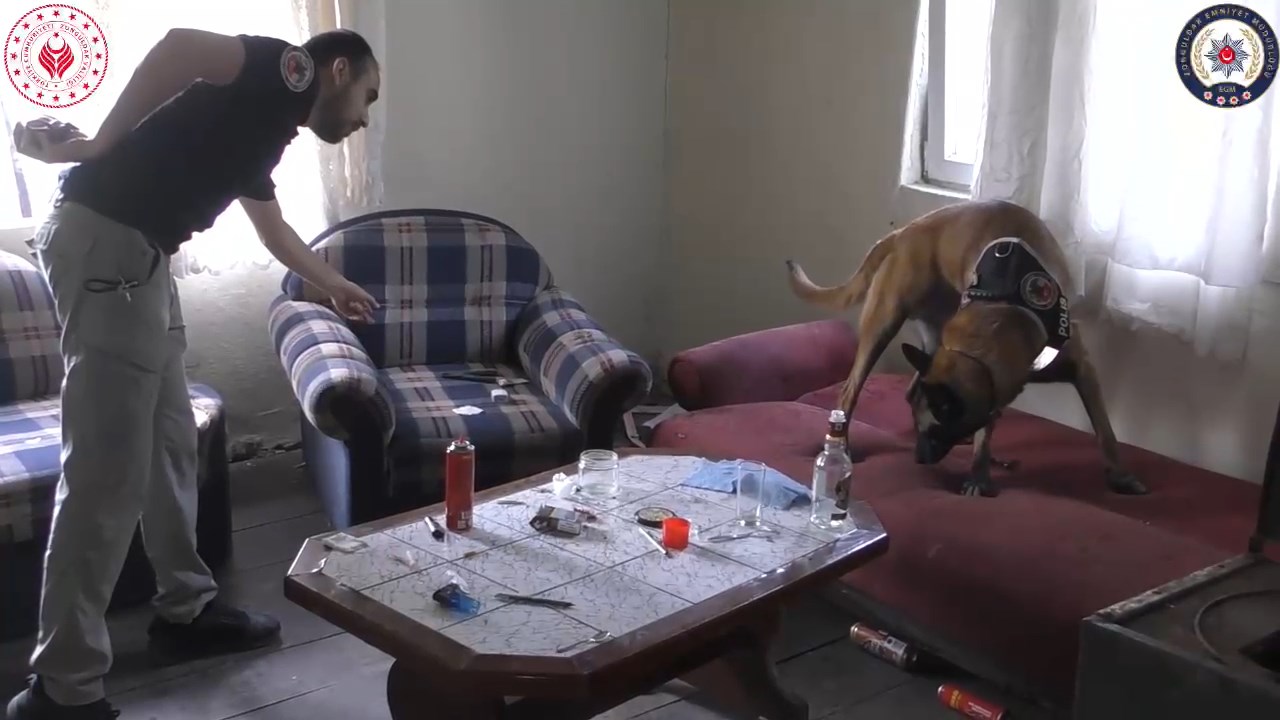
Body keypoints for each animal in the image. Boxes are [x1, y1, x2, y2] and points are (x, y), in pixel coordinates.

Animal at [785, 199, 1146, 499]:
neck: (1007, 314)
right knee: (849, 391)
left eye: (935, 431)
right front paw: (979, 473)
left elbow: (1105, 430)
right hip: (883, 324)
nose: (918, 459)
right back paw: (843, 444)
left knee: (911, 387)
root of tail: (905, 231)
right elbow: (988, 427)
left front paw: (1120, 476)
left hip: (931, 337)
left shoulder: (1080, 370)